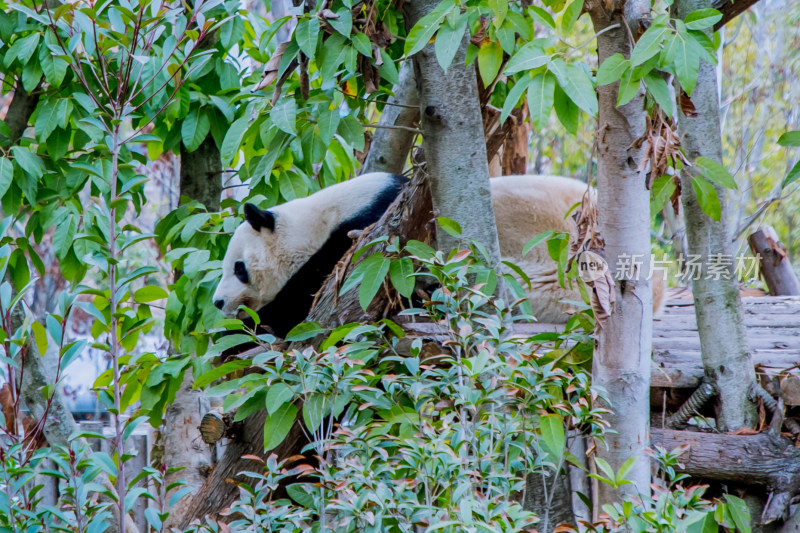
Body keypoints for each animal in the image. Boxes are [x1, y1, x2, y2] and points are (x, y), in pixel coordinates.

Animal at [211, 171, 664, 336]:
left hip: (553, 269)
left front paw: (256, 324)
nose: (217, 302)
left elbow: (310, 299)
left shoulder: (364, 237)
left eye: (239, 268)